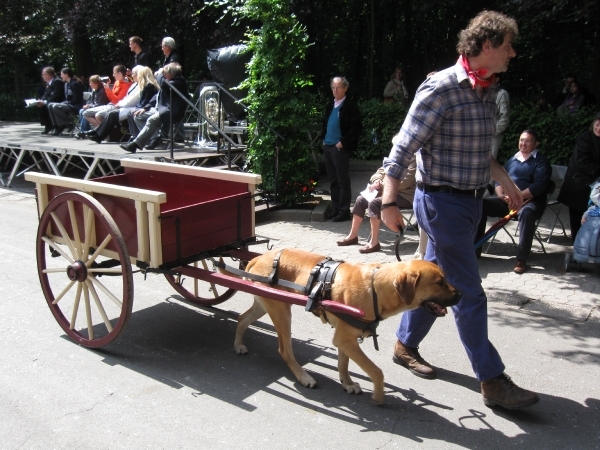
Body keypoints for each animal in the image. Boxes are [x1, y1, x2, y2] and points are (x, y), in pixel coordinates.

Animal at [232, 250, 462, 404]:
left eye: (445, 279)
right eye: (439, 282)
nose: (461, 294)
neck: (375, 288)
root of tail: (259, 257)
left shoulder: (345, 339)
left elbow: (343, 363)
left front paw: (348, 383)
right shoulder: (346, 339)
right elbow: (376, 371)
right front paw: (379, 395)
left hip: (266, 304)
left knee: (242, 318)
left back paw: (238, 345)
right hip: (281, 311)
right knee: (284, 350)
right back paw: (304, 377)